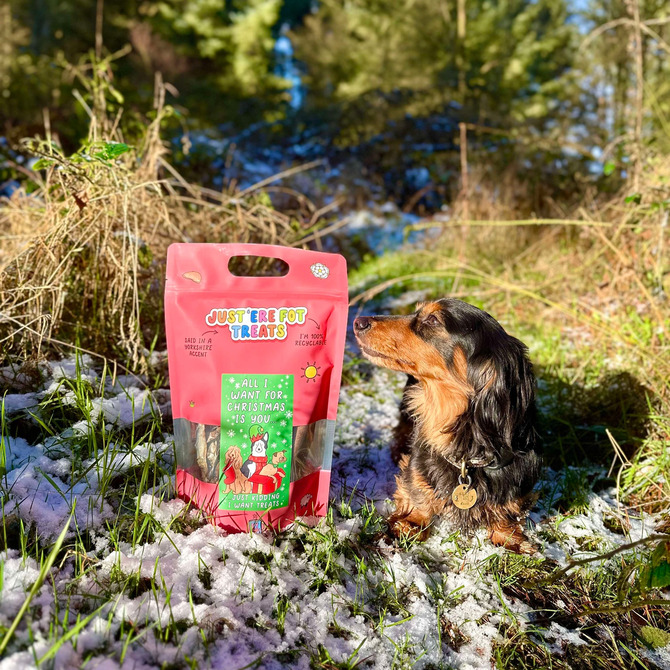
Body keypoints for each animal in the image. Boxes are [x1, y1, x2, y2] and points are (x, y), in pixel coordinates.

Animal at [354, 302, 544, 552]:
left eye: (433, 320)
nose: (358, 322)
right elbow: (417, 490)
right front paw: (409, 523)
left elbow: (510, 510)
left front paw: (511, 538)